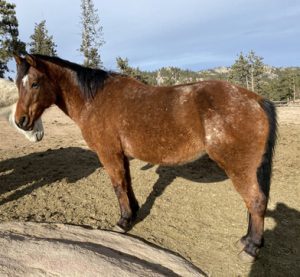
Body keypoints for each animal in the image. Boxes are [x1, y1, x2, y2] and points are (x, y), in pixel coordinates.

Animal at [13, 54, 276, 260]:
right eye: (17, 84)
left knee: (256, 201)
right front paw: (134, 212)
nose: (20, 121)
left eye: (34, 83)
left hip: (239, 167)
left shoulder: (108, 153)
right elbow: (127, 183)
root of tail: (256, 100)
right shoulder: (121, 155)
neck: (94, 100)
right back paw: (246, 240)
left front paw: (123, 221)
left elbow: (118, 186)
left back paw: (251, 248)